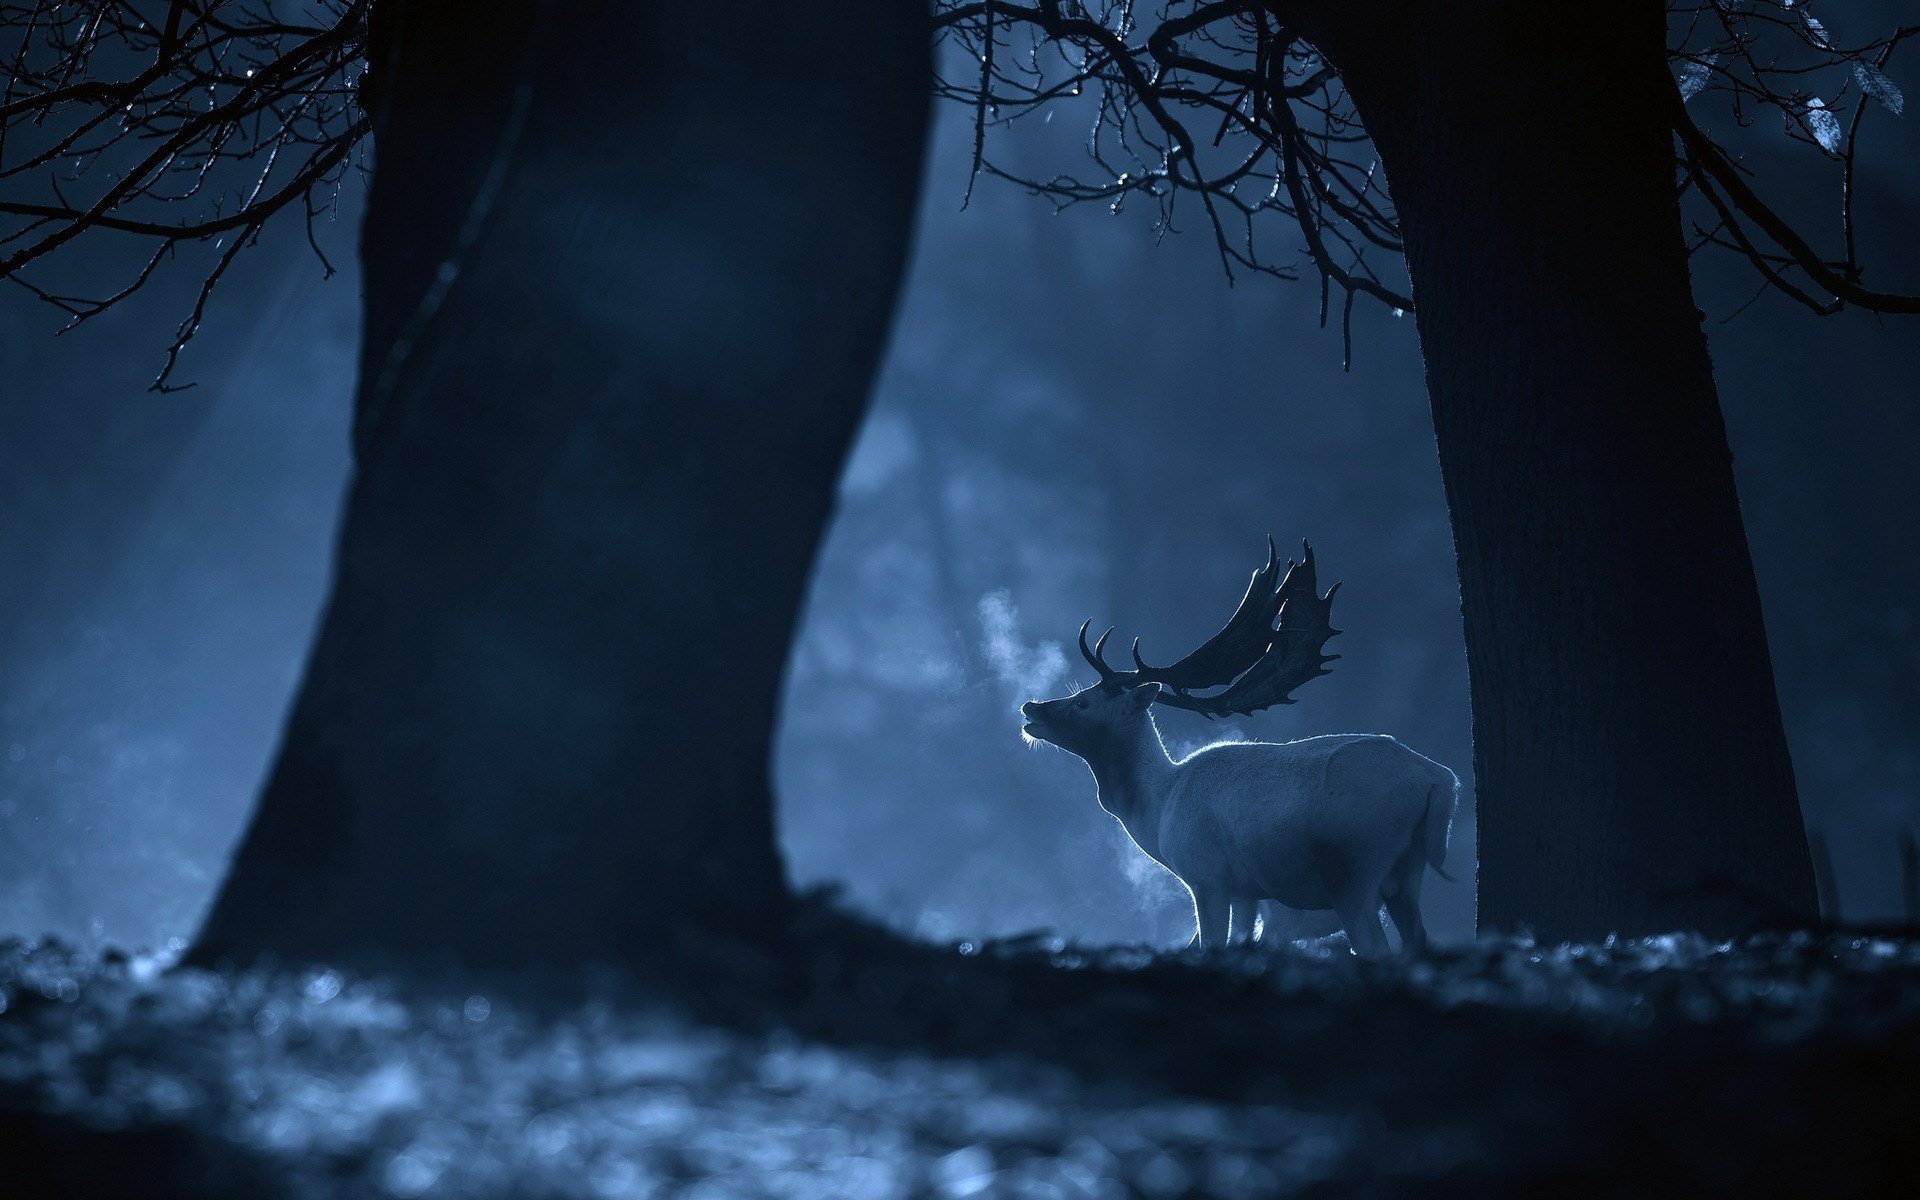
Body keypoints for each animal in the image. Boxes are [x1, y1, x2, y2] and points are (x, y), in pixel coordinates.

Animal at [1019, 540, 1459, 959]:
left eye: (1082, 702)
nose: (1031, 707)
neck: (1157, 809)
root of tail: (1439, 779)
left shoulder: (1207, 877)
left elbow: (1210, 943)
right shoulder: (1247, 893)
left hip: (1354, 866)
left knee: (1373, 943)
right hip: (1407, 870)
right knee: (1416, 938)